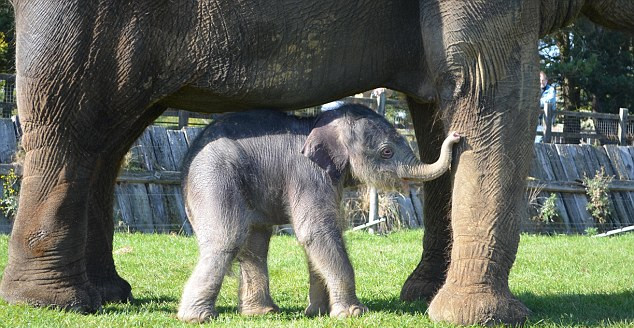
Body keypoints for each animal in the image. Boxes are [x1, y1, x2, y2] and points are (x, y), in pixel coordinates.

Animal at [178, 104, 460, 322]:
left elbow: (318, 237)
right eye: (386, 151)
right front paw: (352, 313)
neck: (320, 123)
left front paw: (318, 312)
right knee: (227, 238)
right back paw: (196, 317)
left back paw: (262, 313)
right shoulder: (308, 173)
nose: (456, 136)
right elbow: (316, 231)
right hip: (214, 177)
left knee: (255, 242)